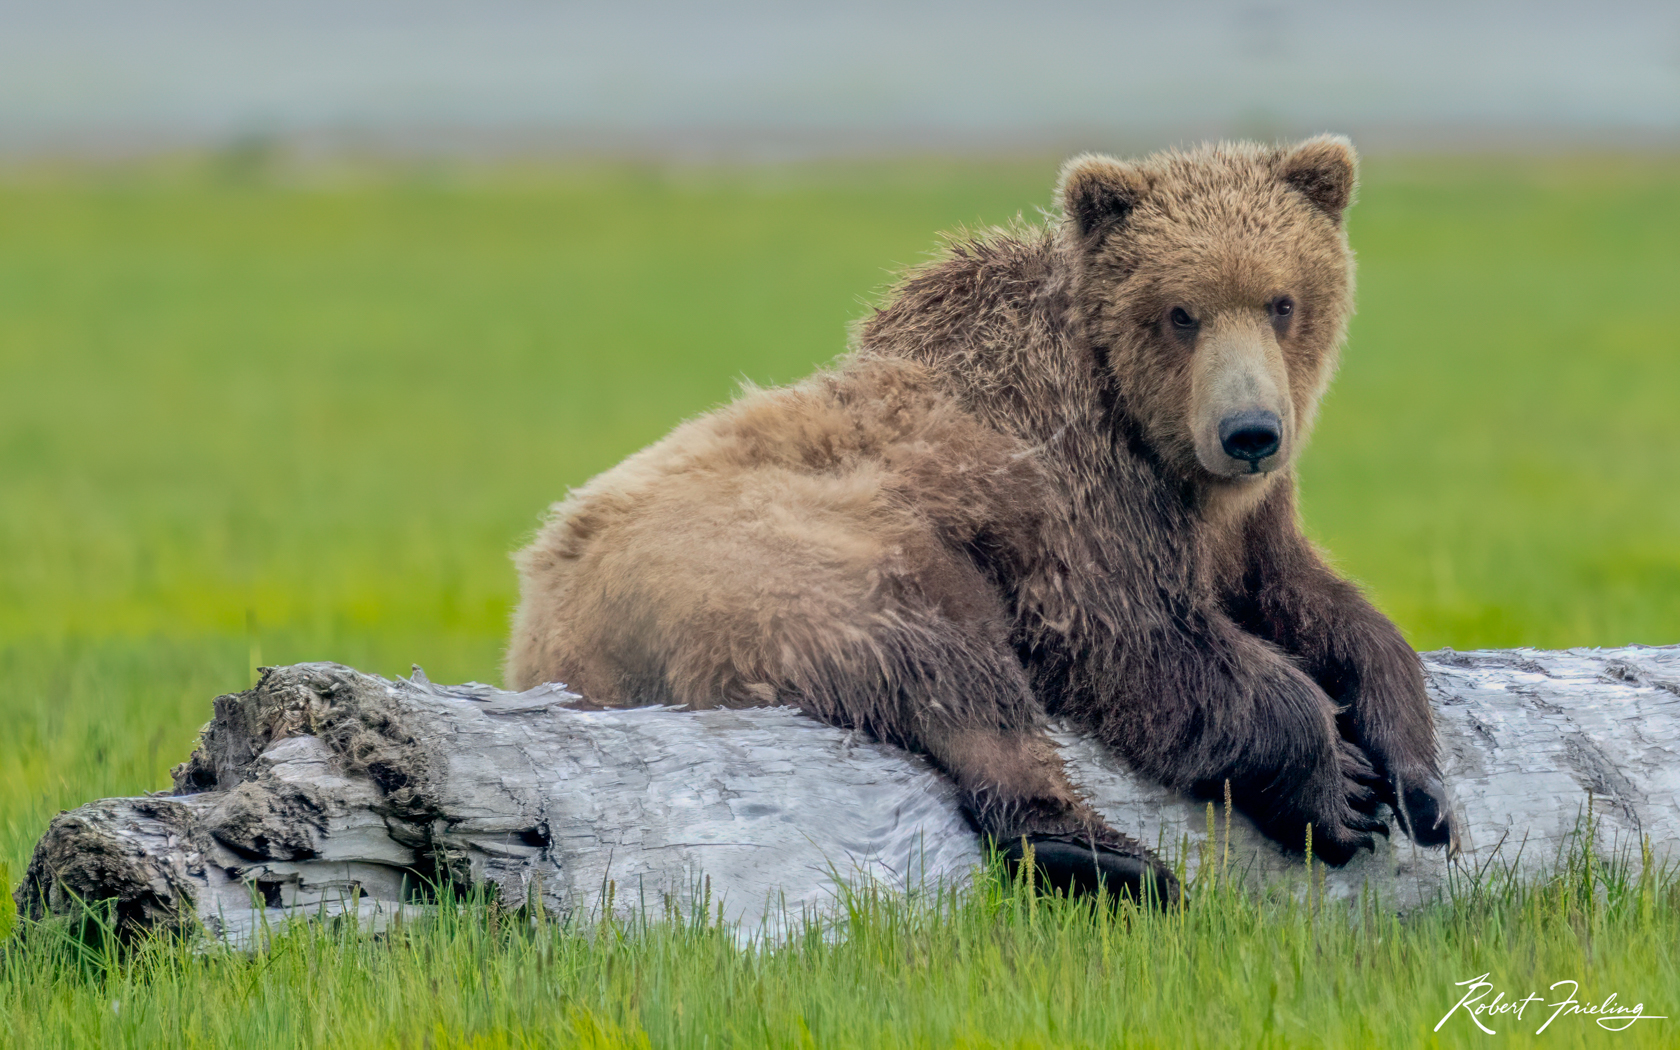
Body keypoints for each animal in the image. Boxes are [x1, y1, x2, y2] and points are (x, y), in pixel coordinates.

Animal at [506, 136, 1455, 904]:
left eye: (1282, 301)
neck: (1151, 436)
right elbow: (1135, 638)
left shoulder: (1241, 522)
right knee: (940, 656)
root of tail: (544, 628)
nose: (1250, 431)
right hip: (770, 555)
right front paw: (1340, 784)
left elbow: (1313, 599)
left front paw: (1416, 773)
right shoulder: (1072, 485)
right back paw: (1095, 852)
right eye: (1181, 311)